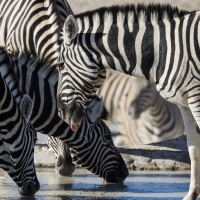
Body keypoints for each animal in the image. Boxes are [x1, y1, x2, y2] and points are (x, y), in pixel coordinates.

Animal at [58, 3, 200, 199]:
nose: (63, 113)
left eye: (60, 65)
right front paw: (191, 194)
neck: (161, 49)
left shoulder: (196, 96)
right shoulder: (185, 103)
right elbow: (193, 149)